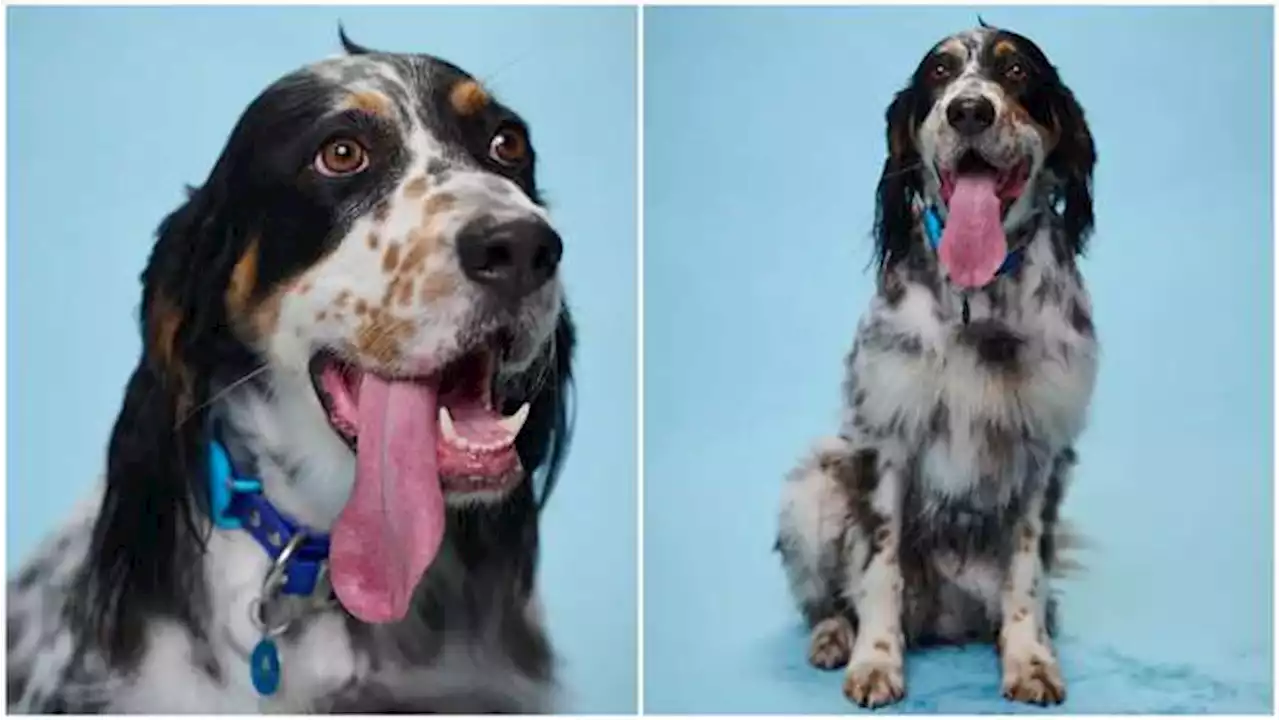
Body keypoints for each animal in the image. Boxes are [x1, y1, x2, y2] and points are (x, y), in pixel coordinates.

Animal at [773, 23, 1095, 707]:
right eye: (940, 73)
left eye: (1018, 71)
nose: (969, 110)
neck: (978, 299)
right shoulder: (885, 442)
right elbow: (879, 569)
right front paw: (875, 661)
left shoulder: (1045, 454)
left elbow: (1026, 574)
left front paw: (1029, 660)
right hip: (812, 484)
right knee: (828, 601)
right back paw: (834, 637)